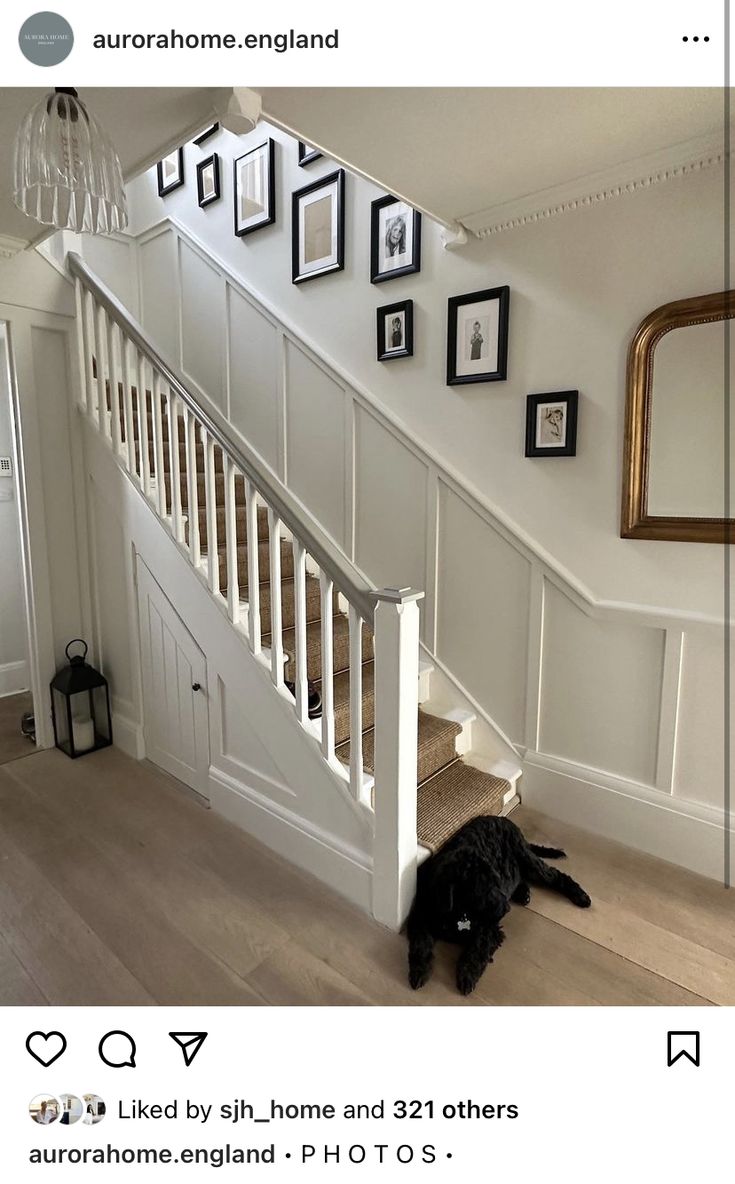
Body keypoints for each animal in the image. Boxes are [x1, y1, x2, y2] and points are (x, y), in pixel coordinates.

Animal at [407, 814, 589, 989]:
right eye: (479, 888)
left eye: (494, 881)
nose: (505, 908)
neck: (459, 909)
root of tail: (505, 820)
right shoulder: (419, 916)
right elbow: (420, 943)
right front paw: (419, 971)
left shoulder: (489, 927)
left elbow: (477, 948)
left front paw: (467, 974)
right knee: (520, 875)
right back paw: (523, 893)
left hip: (527, 859)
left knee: (555, 875)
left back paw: (581, 896)